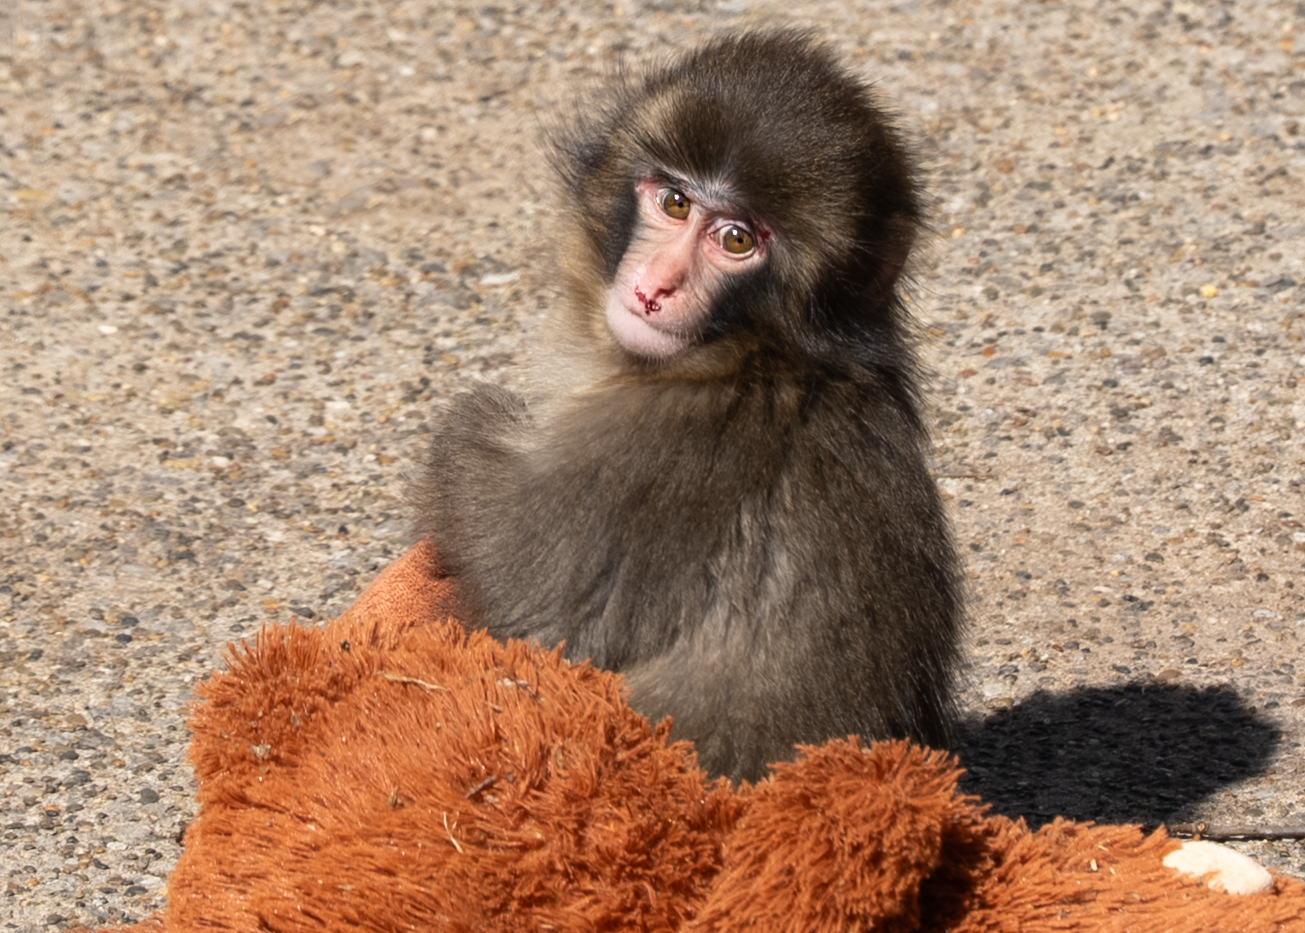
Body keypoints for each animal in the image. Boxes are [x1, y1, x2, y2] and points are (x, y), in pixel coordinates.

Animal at [413, 30, 963, 783]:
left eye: (736, 239)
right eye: (674, 202)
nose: (654, 288)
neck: (757, 355)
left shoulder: (650, 452)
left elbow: (530, 612)